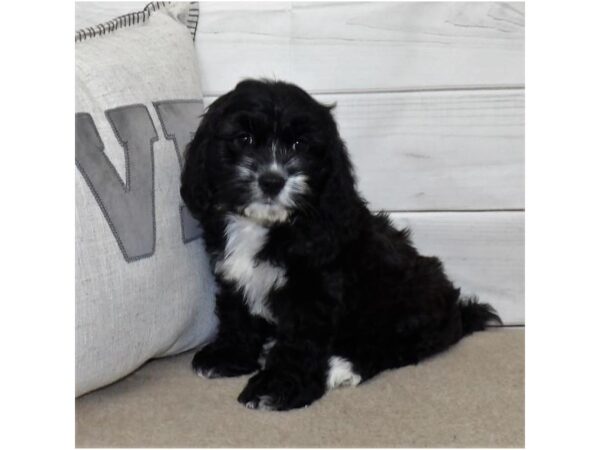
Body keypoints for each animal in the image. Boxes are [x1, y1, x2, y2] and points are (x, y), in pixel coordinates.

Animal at [179, 78, 502, 412]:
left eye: (300, 145)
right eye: (244, 139)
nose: (272, 181)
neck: (269, 225)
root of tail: (457, 312)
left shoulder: (313, 290)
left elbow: (300, 341)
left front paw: (278, 386)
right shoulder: (233, 275)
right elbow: (236, 315)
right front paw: (228, 356)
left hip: (406, 302)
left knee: (393, 345)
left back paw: (342, 366)